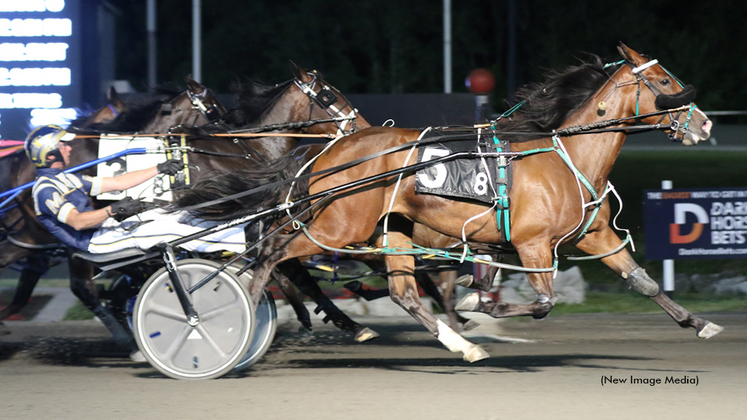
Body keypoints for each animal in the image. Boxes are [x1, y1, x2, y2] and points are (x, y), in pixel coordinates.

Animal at [178, 43, 720, 360]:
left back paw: (460, 345)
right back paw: (240, 315)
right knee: (272, 254)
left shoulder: (596, 236)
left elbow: (644, 282)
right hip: (339, 227)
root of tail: (331, 149)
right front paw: (482, 303)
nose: (705, 122)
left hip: (390, 230)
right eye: (666, 82)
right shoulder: (532, 245)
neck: (564, 158)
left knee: (401, 292)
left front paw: (698, 322)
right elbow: (541, 302)